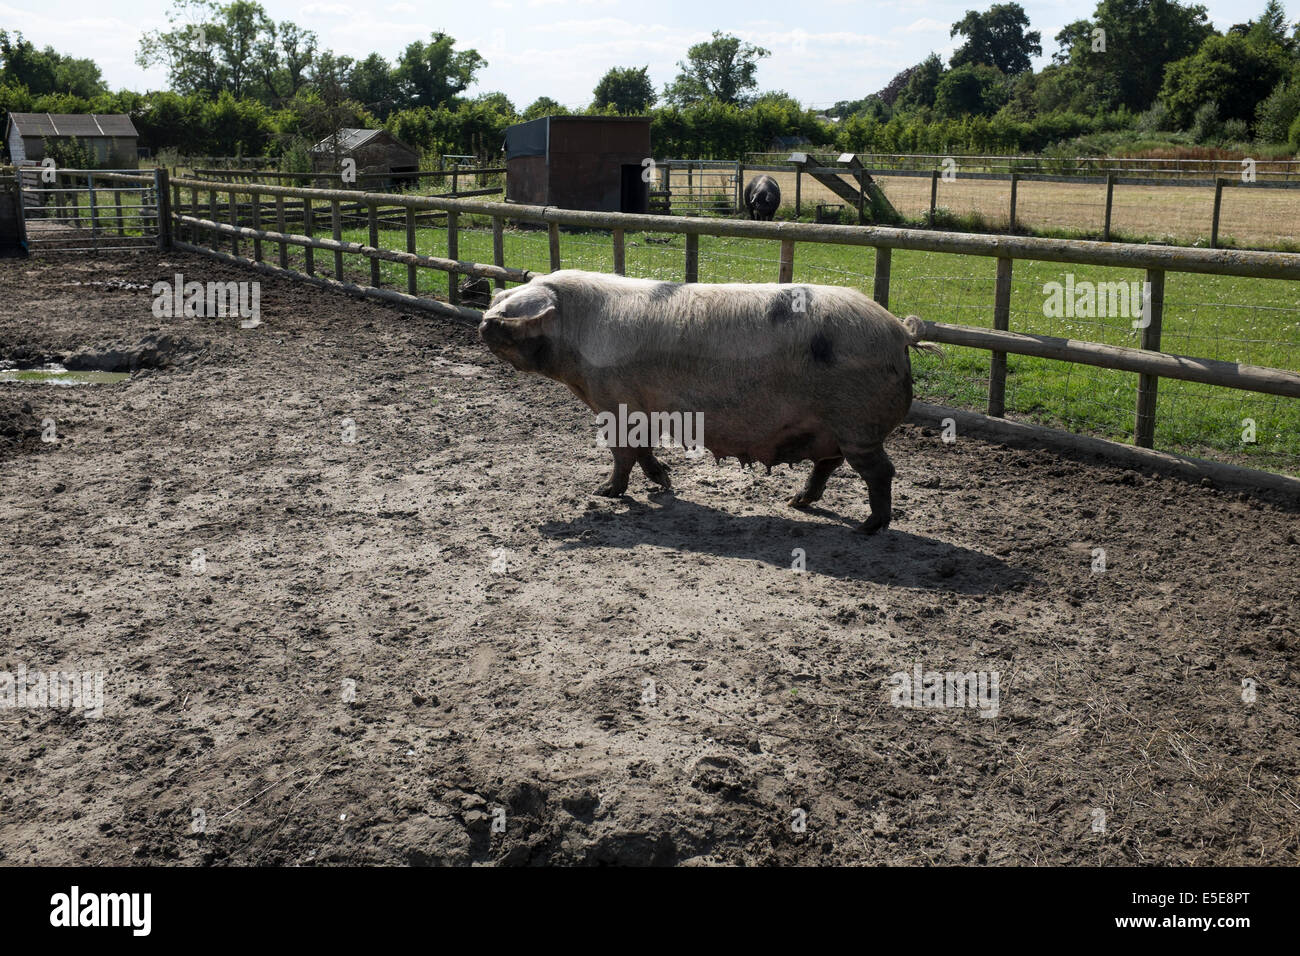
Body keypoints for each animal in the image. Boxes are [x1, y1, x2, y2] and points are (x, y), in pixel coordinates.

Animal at [475, 273, 935, 535]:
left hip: (857, 423)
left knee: (880, 472)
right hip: (833, 428)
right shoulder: (637, 406)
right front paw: (664, 484)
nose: (481, 323)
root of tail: (899, 330)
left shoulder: (614, 398)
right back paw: (796, 503)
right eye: (497, 304)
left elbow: (622, 452)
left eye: (508, 314)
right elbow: (641, 449)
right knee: (829, 464)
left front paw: (605, 493)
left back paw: (868, 528)